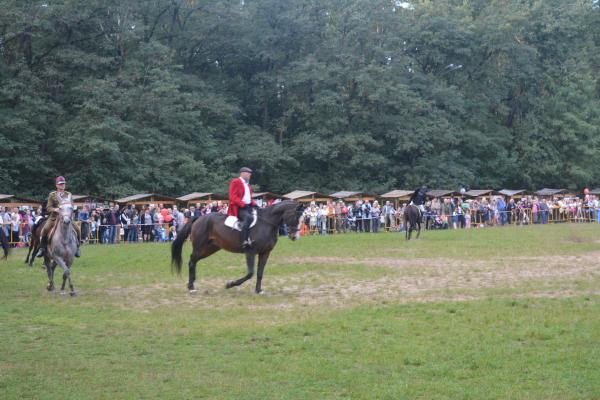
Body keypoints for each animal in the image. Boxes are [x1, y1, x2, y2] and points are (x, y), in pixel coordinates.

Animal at [172, 200, 304, 294]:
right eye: (296, 217)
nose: (295, 236)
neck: (266, 223)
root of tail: (199, 218)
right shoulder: (250, 252)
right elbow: (250, 273)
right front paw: (230, 284)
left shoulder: (265, 252)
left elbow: (260, 273)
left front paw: (258, 290)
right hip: (200, 246)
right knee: (192, 261)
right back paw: (191, 287)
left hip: (210, 249)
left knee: (194, 261)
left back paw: (192, 284)